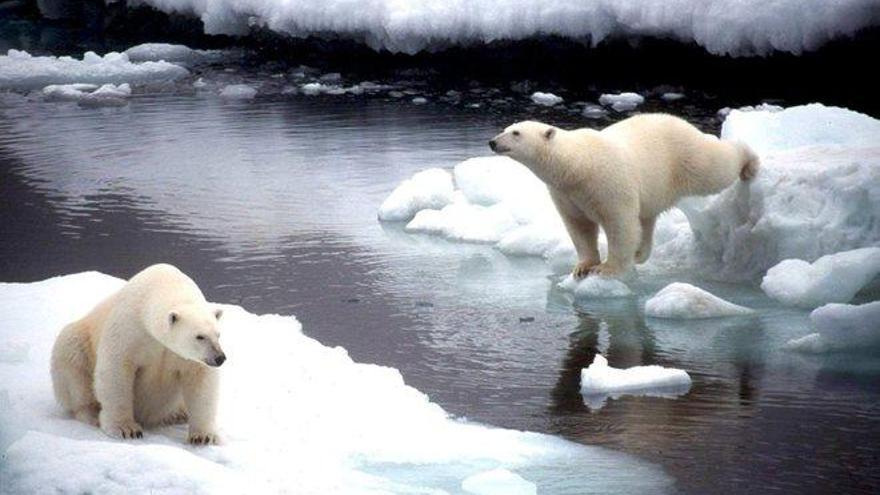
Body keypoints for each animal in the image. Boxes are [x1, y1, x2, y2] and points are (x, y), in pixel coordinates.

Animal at [50, 264, 227, 446]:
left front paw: (203, 436)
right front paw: (126, 429)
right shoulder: (130, 329)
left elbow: (201, 380)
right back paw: (91, 414)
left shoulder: (187, 357)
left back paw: (179, 414)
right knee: (73, 365)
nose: (220, 358)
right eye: (200, 336)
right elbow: (116, 370)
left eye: (218, 334)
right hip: (78, 342)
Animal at [488, 115, 756, 280]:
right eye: (506, 129)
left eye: (516, 133)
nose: (492, 142)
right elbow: (579, 226)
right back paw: (639, 253)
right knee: (647, 219)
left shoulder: (607, 182)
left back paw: (748, 162)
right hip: (655, 185)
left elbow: (619, 223)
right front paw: (582, 267)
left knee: (715, 168)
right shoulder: (566, 193)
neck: (577, 164)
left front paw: (606, 269)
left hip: (684, 157)